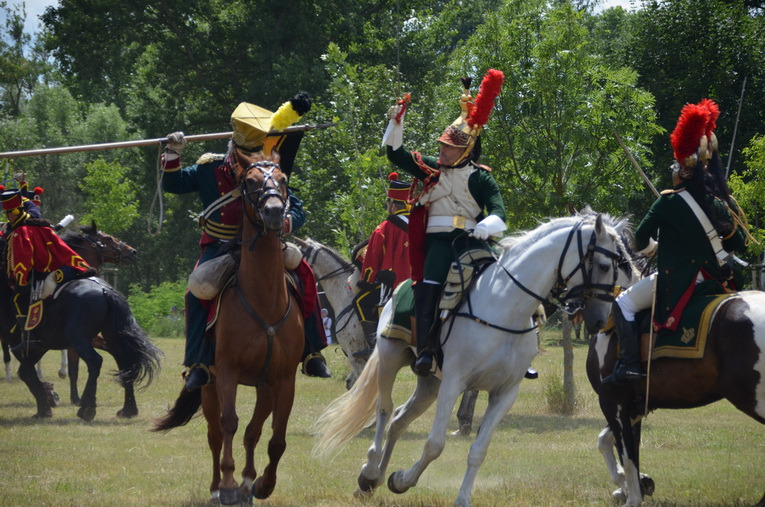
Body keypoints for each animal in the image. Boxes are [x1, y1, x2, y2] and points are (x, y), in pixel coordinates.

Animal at [0, 236, 160, 421]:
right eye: (108, 238)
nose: (133, 252)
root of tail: (106, 290)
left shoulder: (24, 343)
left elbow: (30, 372)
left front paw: (47, 406)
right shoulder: (41, 344)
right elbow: (32, 371)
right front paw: (50, 397)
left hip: (80, 340)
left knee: (95, 362)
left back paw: (87, 408)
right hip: (110, 337)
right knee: (124, 362)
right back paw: (128, 409)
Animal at [153, 152, 304, 505]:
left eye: (283, 179)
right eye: (249, 182)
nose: (274, 212)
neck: (264, 299)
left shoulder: (283, 379)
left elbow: (275, 437)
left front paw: (262, 484)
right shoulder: (227, 372)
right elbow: (229, 424)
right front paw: (228, 483)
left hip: (263, 387)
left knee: (253, 432)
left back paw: (249, 483)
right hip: (208, 386)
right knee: (215, 434)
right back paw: (216, 487)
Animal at [313, 211, 634, 506]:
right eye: (605, 265)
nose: (599, 319)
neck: (505, 305)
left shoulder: (504, 393)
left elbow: (479, 450)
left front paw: (435, 489)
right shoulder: (454, 383)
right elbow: (434, 444)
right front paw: (404, 478)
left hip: (429, 383)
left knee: (399, 419)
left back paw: (376, 479)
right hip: (391, 358)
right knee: (383, 410)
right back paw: (369, 472)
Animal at [586, 291, 765, 505]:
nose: (593, 320)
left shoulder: (612, 401)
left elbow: (627, 455)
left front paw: (633, 496)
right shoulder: (635, 407)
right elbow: (608, 442)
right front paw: (637, 484)